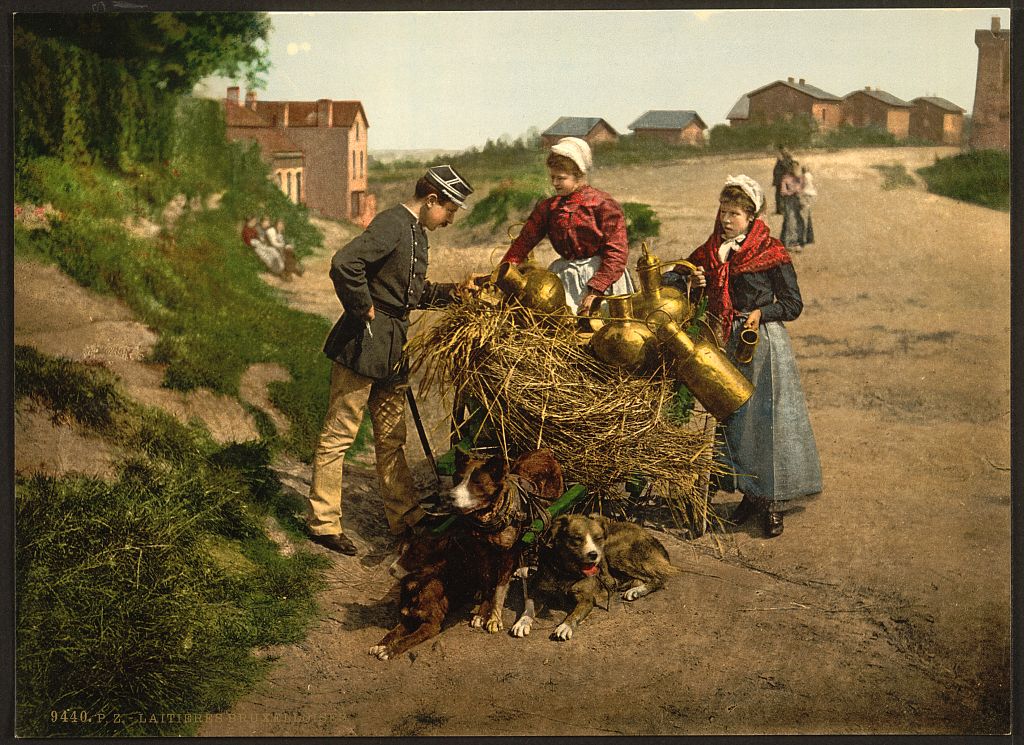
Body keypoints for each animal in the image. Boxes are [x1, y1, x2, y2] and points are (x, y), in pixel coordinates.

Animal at [512, 511, 679, 638]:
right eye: (577, 539)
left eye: (598, 538)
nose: (594, 555)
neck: (566, 571)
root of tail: (652, 538)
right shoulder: (536, 591)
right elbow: (528, 608)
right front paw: (522, 622)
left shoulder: (587, 599)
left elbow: (575, 614)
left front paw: (565, 626)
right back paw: (525, 570)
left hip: (614, 551)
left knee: (658, 578)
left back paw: (637, 590)